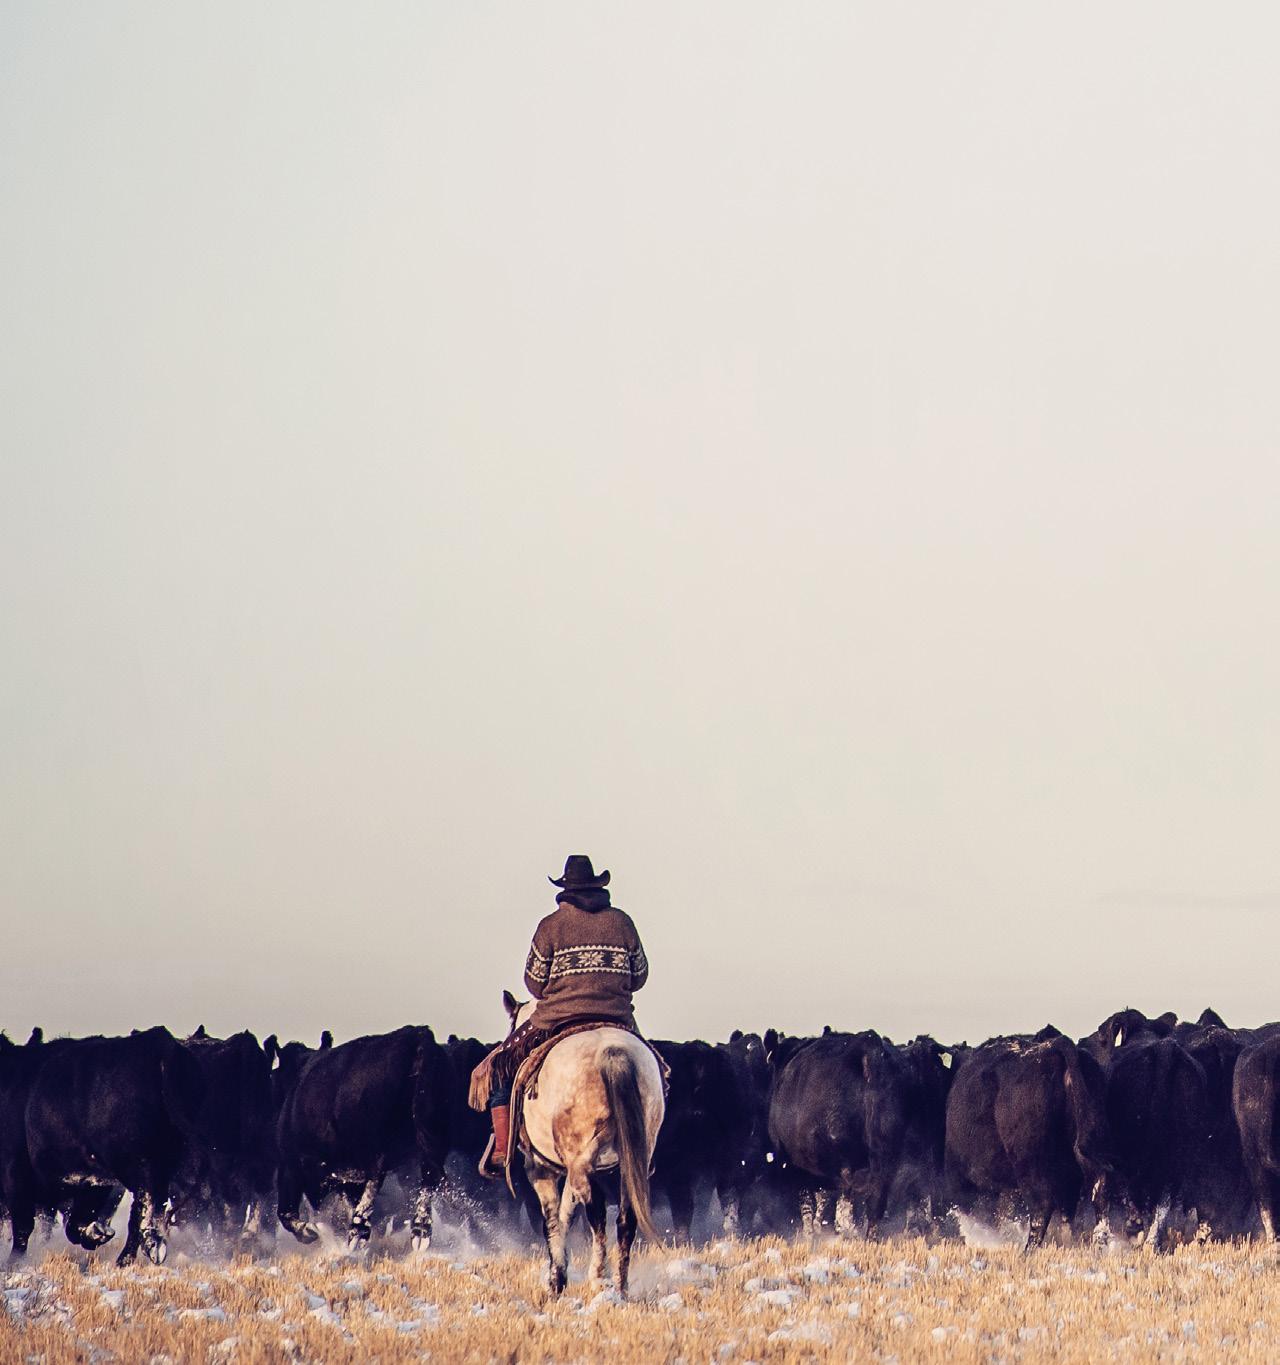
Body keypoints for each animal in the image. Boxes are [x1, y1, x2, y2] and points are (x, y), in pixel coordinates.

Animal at [274, 1025, 452, 1250]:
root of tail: (417, 1035)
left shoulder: (291, 1164)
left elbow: (287, 1213)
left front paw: (310, 1231)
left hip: (374, 1149)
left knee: (374, 1184)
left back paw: (358, 1233)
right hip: (431, 1143)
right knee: (428, 1181)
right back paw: (420, 1231)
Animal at [502, 994, 664, 1297]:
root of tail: (612, 1052)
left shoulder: (540, 1169)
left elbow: (552, 1220)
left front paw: (556, 1279)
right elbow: (566, 1212)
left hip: (581, 1157)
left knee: (596, 1209)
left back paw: (598, 1275)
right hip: (632, 1156)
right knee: (625, 1217)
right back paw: (620, 1287)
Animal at [944, 1028, 1113, 1247]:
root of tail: (1054, 1047)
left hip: (1029, 1164)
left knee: (1042, 1206)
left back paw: (1028, 1249)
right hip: (1090, 1153)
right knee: (1096, 1197)